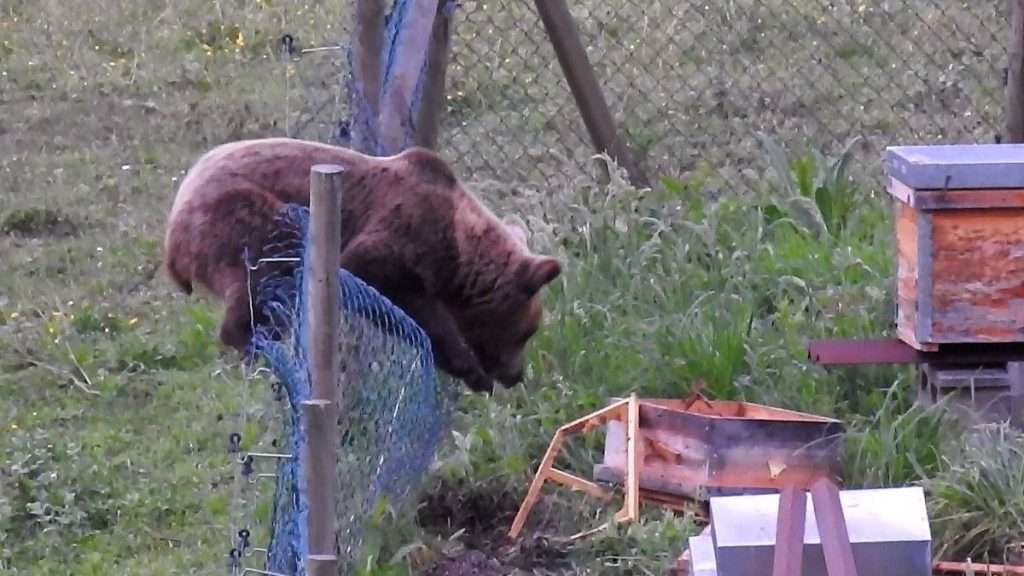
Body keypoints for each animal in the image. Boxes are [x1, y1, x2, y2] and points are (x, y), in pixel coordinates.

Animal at [161, 136, 561, 391]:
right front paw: (468, 368)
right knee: (265, 277)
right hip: (245, 217)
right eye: (527, 331)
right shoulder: (398, 238)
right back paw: (258, 345)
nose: (516, 375)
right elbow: (402, 298)